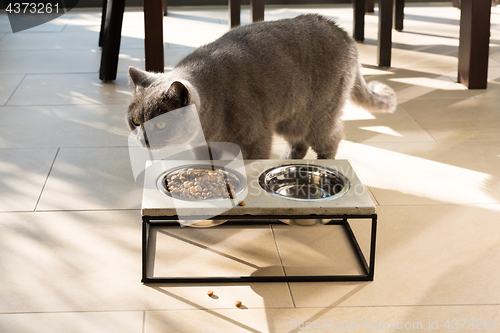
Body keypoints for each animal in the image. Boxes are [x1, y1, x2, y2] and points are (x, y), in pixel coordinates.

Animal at [127, 14, 396, 160]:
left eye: (160, 125)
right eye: (136, 121)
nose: (142, 140)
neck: (208, 127)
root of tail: (344, 34)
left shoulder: (256, 140)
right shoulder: (203, 147)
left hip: (318, 115)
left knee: (331, 139)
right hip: (291, 118)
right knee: (300, 142)